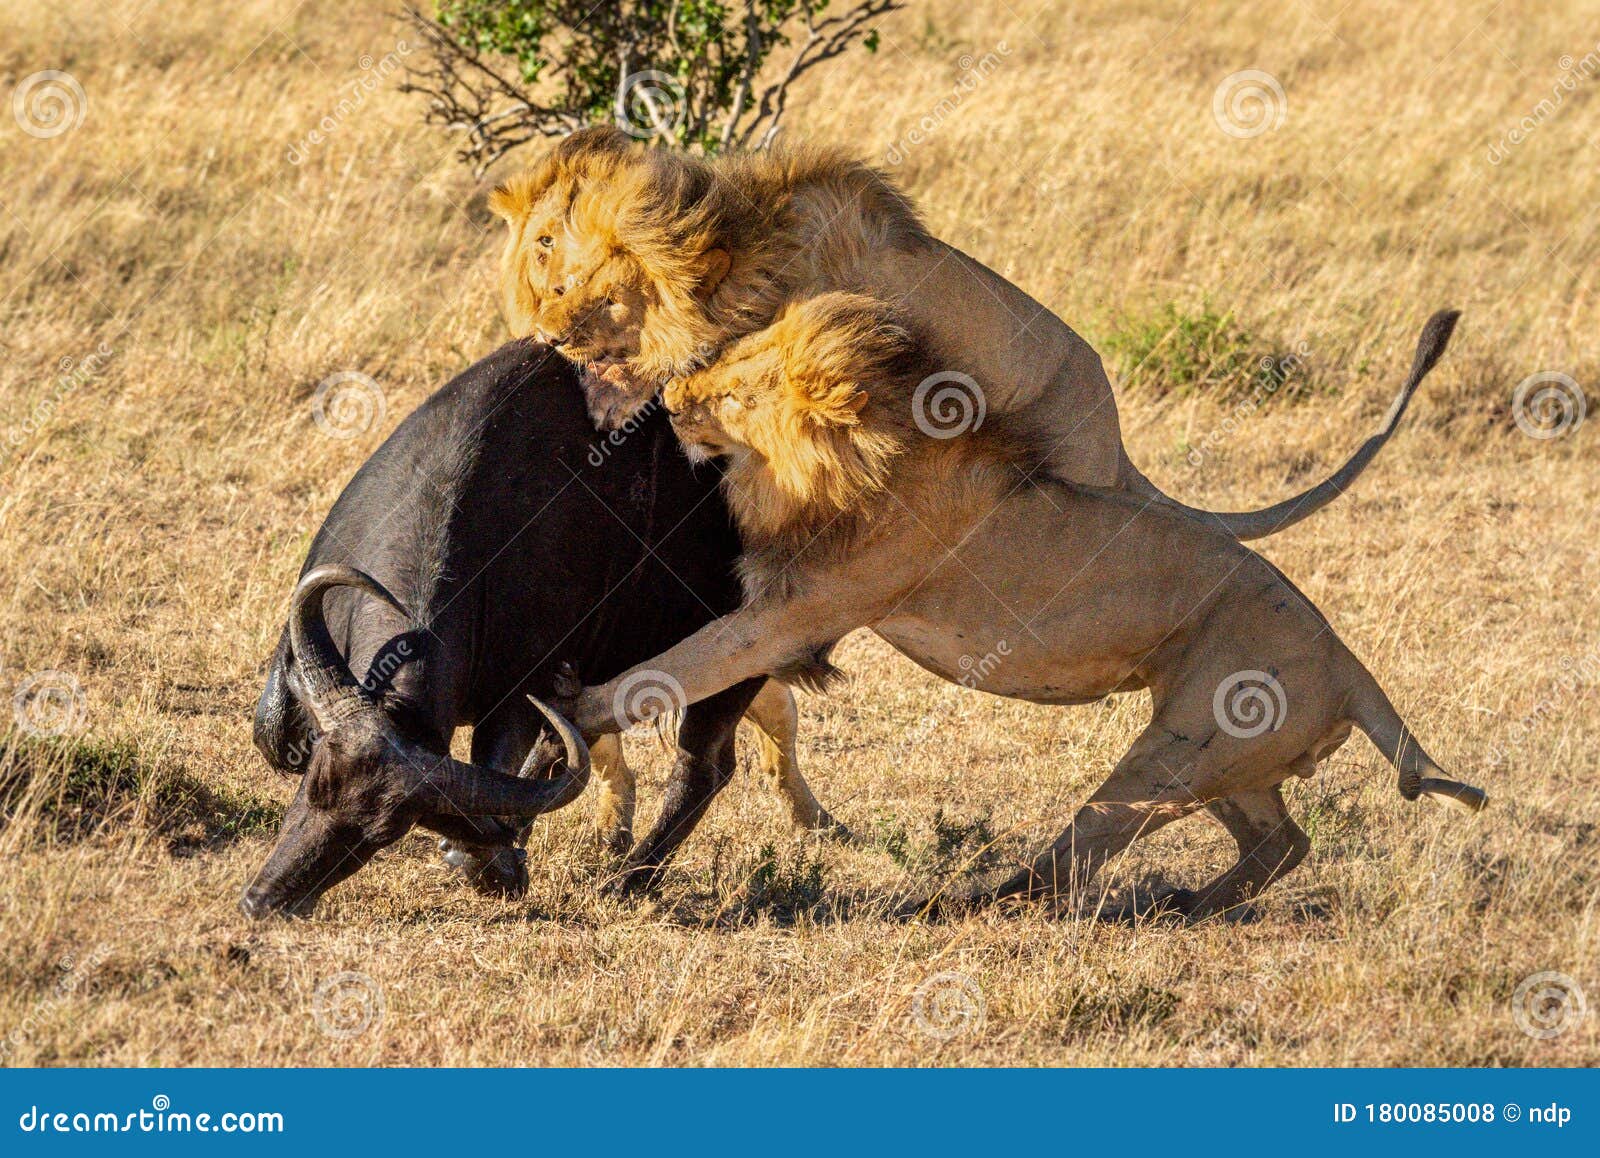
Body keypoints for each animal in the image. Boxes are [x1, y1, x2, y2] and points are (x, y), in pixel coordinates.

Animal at [569, 291, 1478, 914]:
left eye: (734, 394)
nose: (670, 400)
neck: (875, 455)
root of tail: (1350, 666)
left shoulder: (801, 612)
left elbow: (678, 666)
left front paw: (575, 708)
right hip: (1221, 752)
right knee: (1283, 840)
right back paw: (1189, 906)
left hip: (1176, 750)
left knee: (1078, 859)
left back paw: (970, 902)